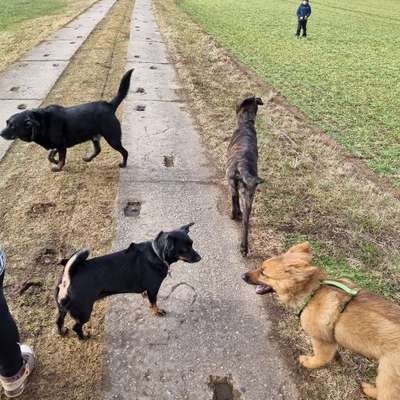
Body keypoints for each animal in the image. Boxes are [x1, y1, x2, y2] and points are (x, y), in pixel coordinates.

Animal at [0, 69, 134, 172]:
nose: (1, 133)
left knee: (125, 152)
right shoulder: (57, 145)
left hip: (112, 138)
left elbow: (62, 158)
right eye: (7, 122)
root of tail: (109, 105)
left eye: (13, 126)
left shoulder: (61, 145)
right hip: (95, 137)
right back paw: (88, 158)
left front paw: (58, 167)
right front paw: (54, 160)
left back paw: (123, 164)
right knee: (98, 150)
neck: (41, 122)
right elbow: (50, 155)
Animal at [55, 223, 200, 340]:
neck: (157, 253)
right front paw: (157, 311)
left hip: (63, 308)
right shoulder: (153, 288)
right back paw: (83, 337)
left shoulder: (149, 289)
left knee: (58, 321)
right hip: (84, 311)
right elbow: (154, 302)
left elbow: (149, 299)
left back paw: (62, 332)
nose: (200, 258)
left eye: (192, 244)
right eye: (185, 249)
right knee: (76, 327)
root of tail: (67, 280)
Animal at [241, 242, 400, 398]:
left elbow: (320, 359)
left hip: (388, 378)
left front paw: (307, 362)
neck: (312, 293)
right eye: (260, 267)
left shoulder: (323, 341)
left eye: (263, 273)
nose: (242, 276)